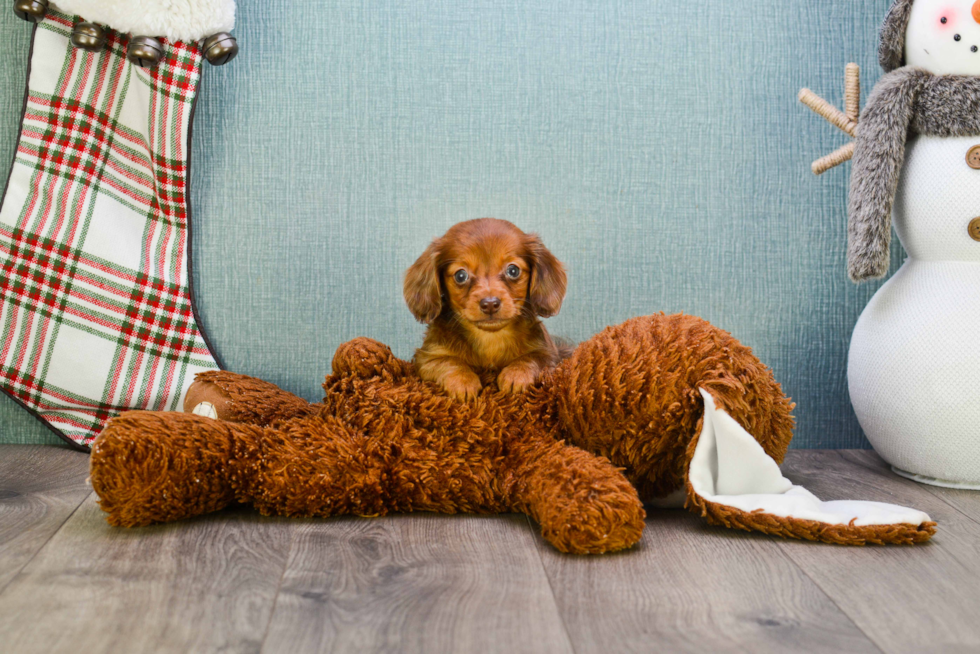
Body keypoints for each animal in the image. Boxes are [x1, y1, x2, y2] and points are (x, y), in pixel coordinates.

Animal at [402, 219, 568, 400]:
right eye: (461, 275)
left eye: (513, 270)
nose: (489, 304)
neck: (489, 338)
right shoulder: (427, 357)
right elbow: (449, 362)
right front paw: (463, 381)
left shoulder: (549, 354)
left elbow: (531, 359)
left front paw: (516, 374)